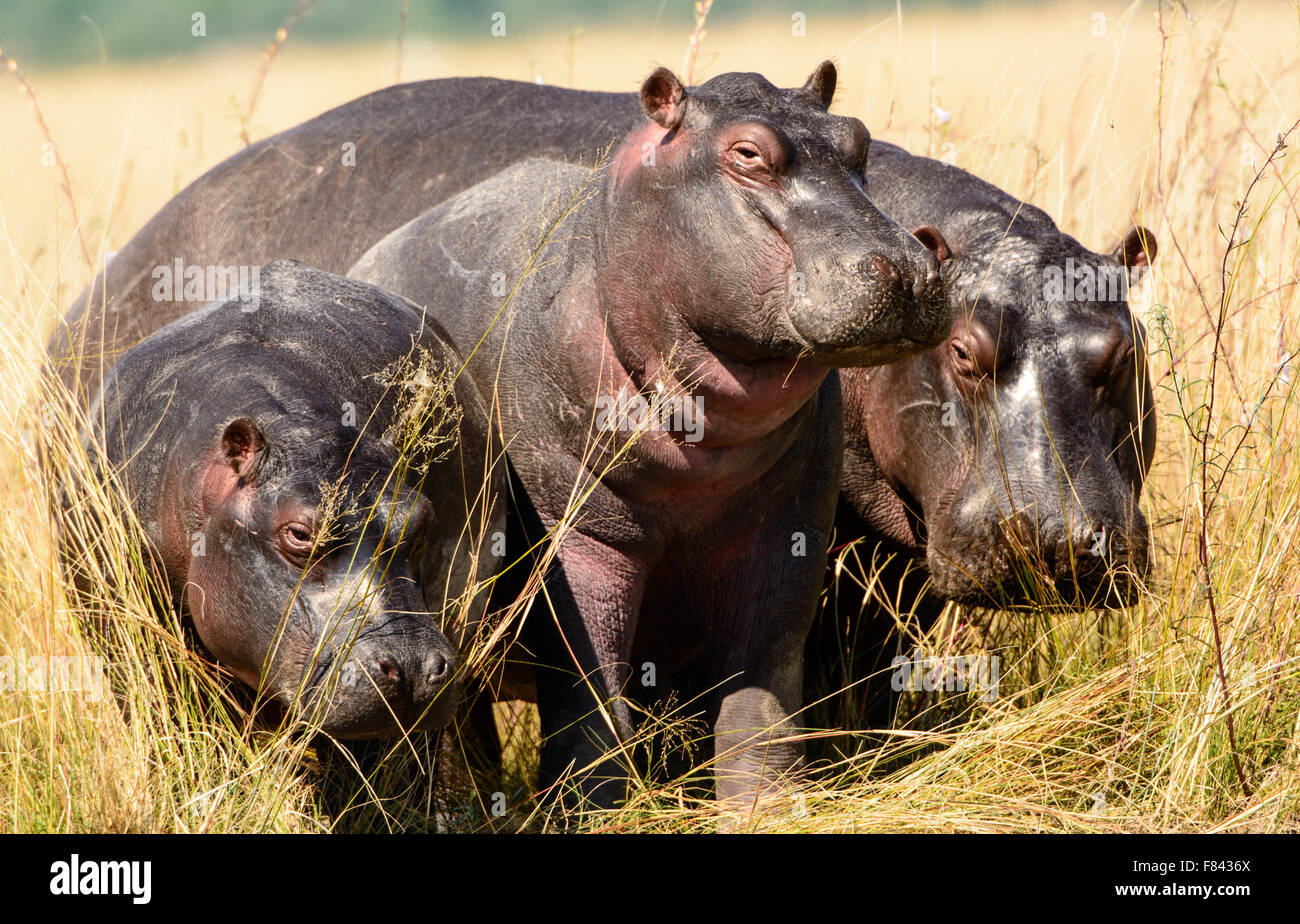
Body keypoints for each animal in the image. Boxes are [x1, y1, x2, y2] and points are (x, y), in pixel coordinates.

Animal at [351, 63, 951, 810]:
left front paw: (766, 806)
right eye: (747, 153)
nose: (911, 267)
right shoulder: (579, 540)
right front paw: (590, 809)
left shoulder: (786, 535)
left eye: (859, 139)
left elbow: (762, 695)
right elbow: (588, 693)